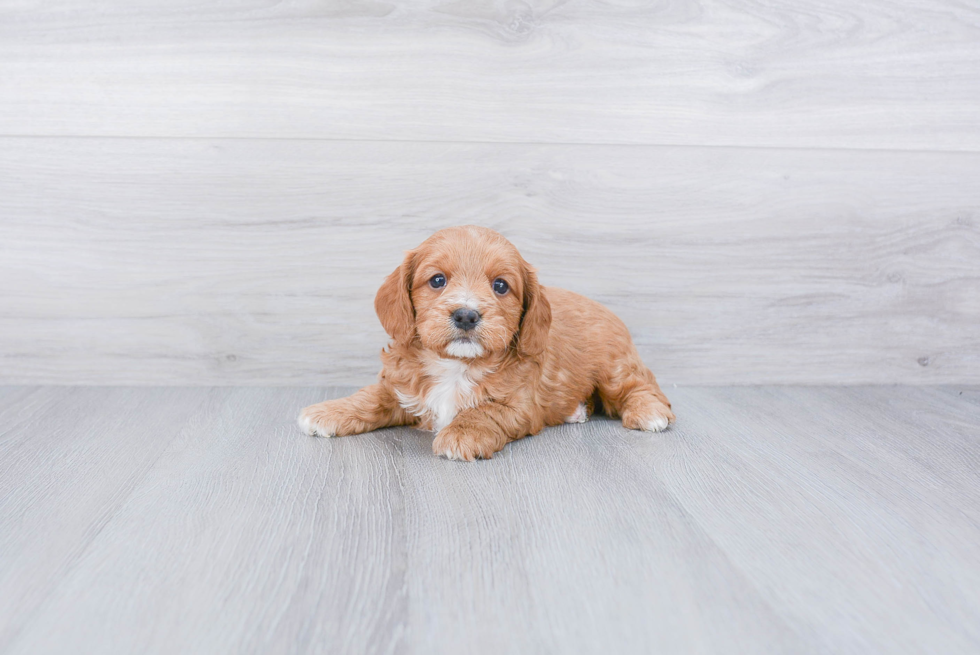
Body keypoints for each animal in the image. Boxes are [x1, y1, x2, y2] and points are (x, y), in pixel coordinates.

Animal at [298, 226, 672, 462]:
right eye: (437, 280)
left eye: (501, 286)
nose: (466, 315)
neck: (456, 365)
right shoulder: (401, 386)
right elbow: (372, 396)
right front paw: (329, 411)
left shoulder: (519, 405)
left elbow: (484, 411)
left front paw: (462, 433)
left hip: (614, 366)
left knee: (641, 386)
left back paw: (649, 412)